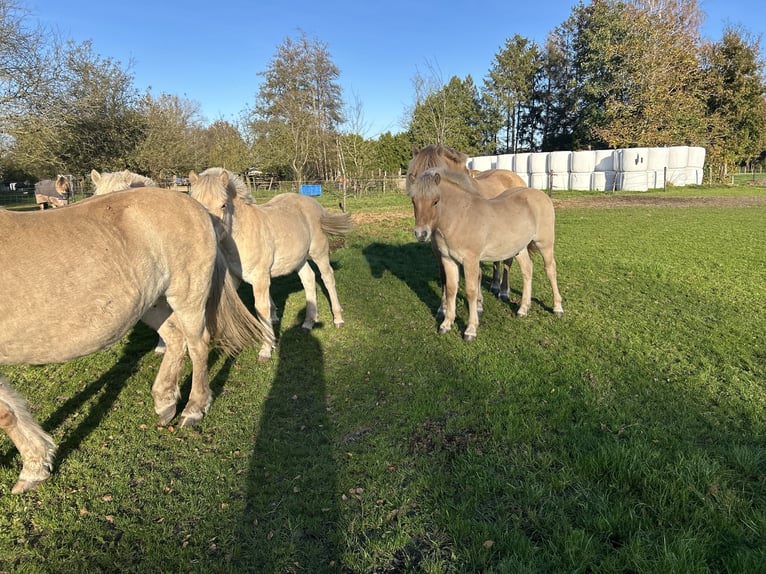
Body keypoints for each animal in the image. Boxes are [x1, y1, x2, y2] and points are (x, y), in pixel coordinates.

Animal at [0, 189, 270, 496]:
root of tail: (197, 207)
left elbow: (5, 413)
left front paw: (32, 467)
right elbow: (12, 411)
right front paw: (36, 465)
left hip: (187, 295)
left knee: (198, 345)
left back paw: (194, 409)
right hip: (154, 303)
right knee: (175, 339)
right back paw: (165, 403)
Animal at [189, 169, 354, 362]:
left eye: (223, 205)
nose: (208, 239)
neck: (241, 234)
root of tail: (314, 204)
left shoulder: (260, 278)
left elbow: (261, 309)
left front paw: (266, 350)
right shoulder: (234, 279)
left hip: (318, 253)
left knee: (327, 278)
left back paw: (338, 319)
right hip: (299, 259)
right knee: (308, 279)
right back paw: (308, 322)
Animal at [408, 144, 528, 306]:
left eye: (437, 177)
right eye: (414, 198)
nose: (421, 234)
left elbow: (477, 275)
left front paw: (478, 302)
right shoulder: (440, 250)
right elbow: (444, 276)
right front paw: (443, 306)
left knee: (507, 261)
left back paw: (503, 292)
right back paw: (495, 285)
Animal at [408, 166, 564, 342]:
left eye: (435, 201)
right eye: (413, 201)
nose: (421, 234)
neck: (460, 217)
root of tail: (542, 195)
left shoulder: (470, 261)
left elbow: (471, 292)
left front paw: (470, 330)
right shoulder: (448, 260)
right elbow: (451, 289)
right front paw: (446, 324)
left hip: (545, 244)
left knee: (550, 270)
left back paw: (557, 308)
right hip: (519, 248)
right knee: (527, 270)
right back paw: (523, 309)